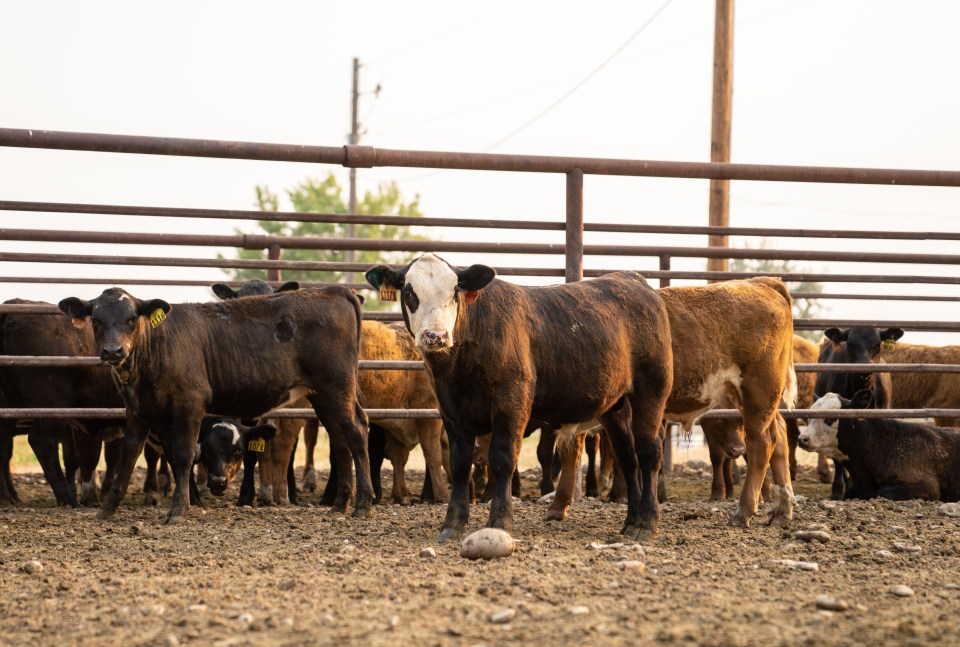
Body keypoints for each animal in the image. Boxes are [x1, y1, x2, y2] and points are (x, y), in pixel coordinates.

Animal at [58, 286, 370, 524]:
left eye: (132, 318)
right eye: (96, 319)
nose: (113, 351)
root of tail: (331, 291)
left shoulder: (190, 404)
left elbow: (183, 455)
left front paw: (178, 510)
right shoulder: (137, 411)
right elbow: (129, 456)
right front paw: (107, 509)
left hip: (336, 386)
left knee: (355, 432)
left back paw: (363, 504)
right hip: (324, 395)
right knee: (340, 439)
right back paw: (340, 504)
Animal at [368, 253, 676, 540]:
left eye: (455, 292)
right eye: (410, 293)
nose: (436, 336)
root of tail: (633, 280)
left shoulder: (511, 402)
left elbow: (503, 458)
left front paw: (499, 521)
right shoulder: (450, 411)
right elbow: (458, 464)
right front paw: (452, 524)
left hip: (651, 390)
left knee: (649, 452)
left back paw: (646, 523)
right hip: (616, 406)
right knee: (628, 456)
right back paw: (631, 521)